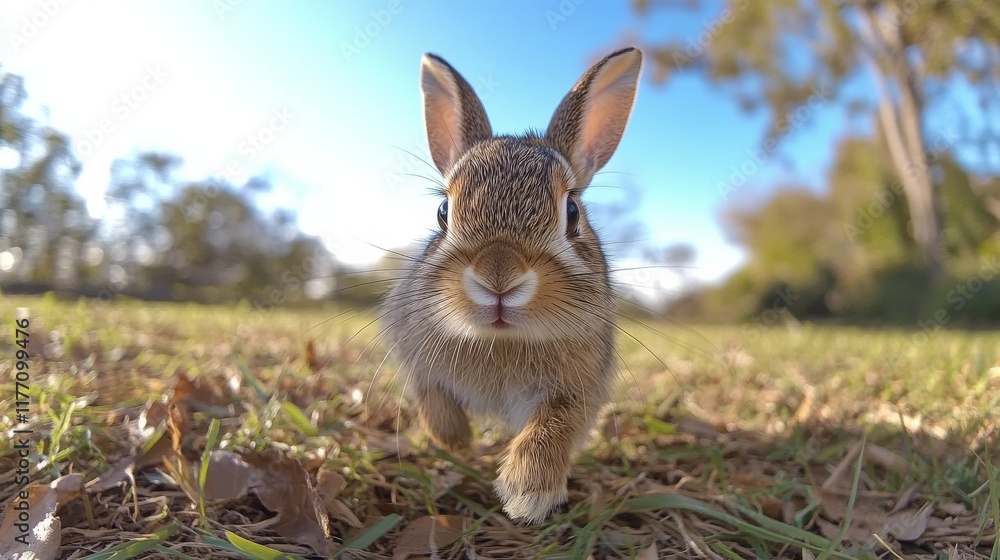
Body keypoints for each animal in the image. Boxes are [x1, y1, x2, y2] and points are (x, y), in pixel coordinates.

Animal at [381, 47, 642, 523]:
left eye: (572, 213)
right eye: (443, 212)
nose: (498, 275)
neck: (500, 339)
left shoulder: (579, 386)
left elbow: (556, 423)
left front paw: (527, 493)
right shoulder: (413, 351)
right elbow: (430, 395)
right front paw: (455, 439)